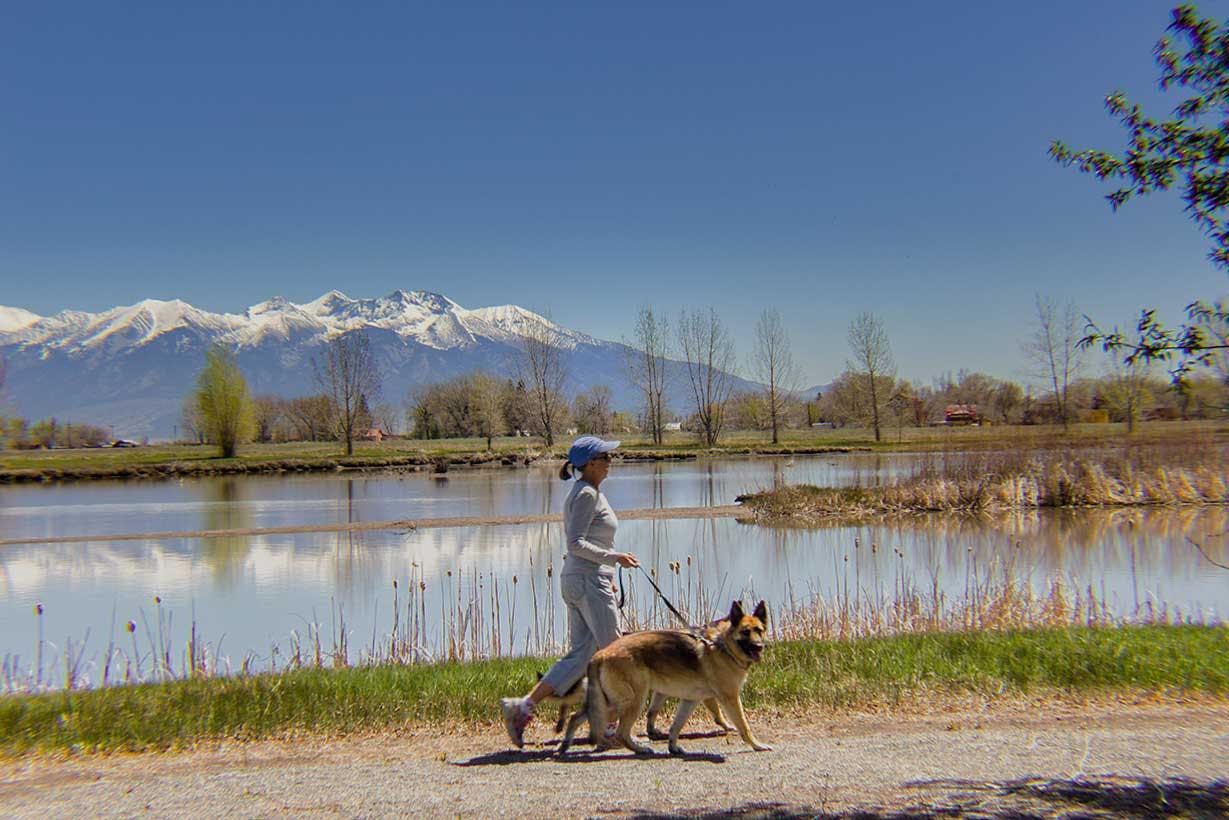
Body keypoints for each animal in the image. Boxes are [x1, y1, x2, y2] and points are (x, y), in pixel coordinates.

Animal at [560, 599, 766, 762]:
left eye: (760, 630)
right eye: (746, 632)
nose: (759, 646)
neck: (723, 646)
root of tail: (600, 654)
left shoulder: (690, 701)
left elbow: (676, 726)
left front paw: (673, 747)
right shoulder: (730, 699)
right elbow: (743, 725)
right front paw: (757, 745)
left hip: (608, 703)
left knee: (576, 717)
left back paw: (564, 747)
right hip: (631, 702)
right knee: (620, 732)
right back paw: (640, 749)